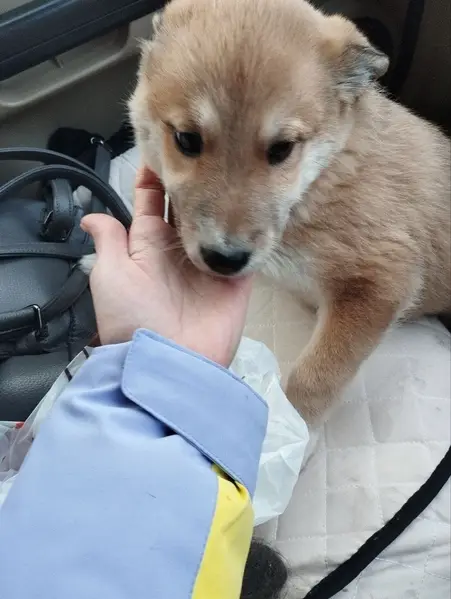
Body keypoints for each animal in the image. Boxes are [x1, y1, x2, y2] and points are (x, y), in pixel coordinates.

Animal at [125, 0, 451, 425]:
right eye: (186, 139)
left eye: (282, 149)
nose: (224, 259)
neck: (322, 181)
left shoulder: (381, 280)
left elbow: (316, 378)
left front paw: (289, 429)